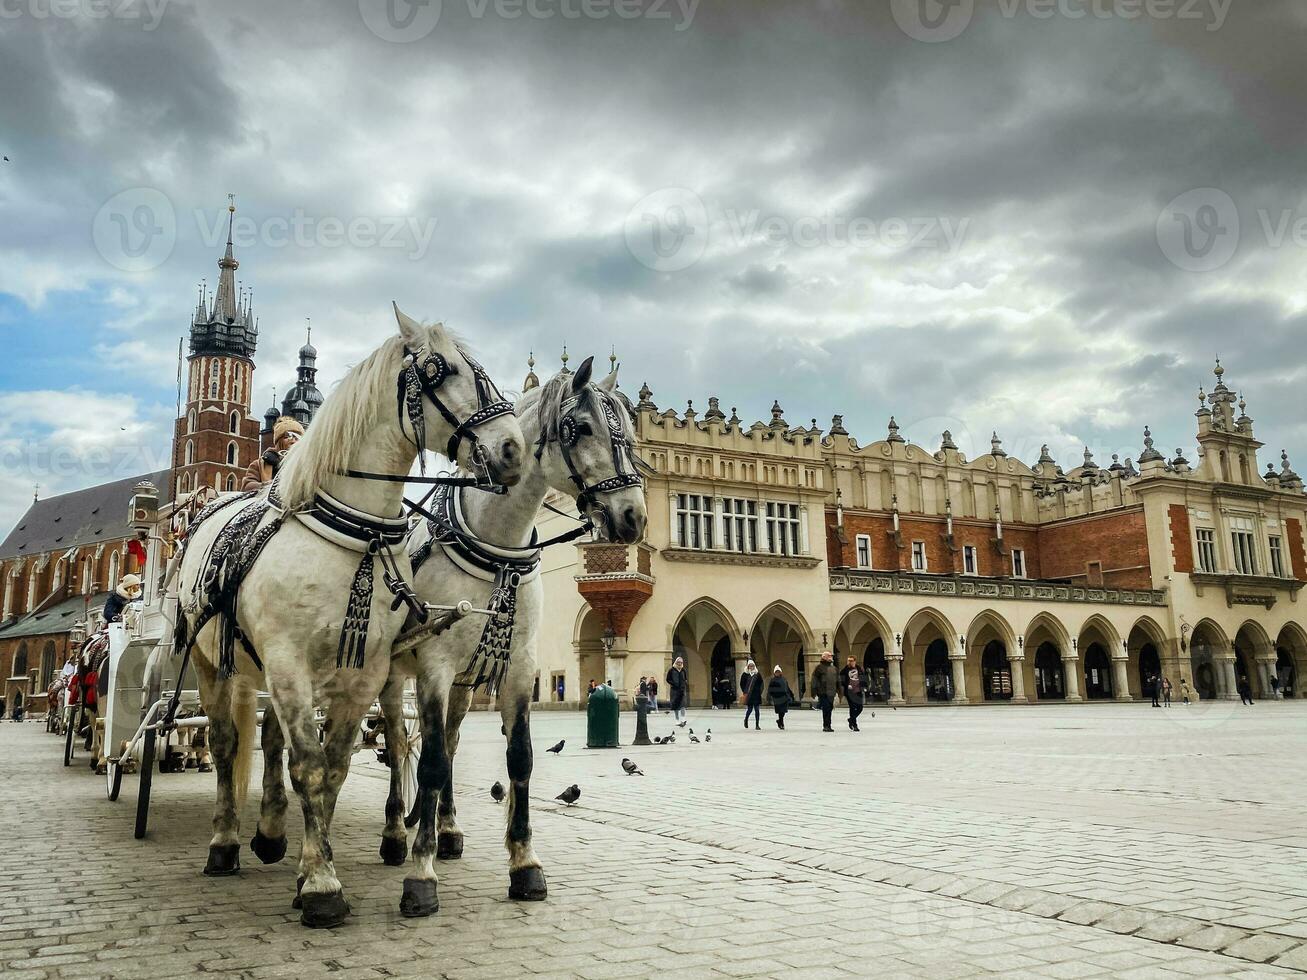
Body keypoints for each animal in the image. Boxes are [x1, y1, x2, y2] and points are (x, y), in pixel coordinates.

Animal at [169, 307, 525, 930]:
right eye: (441, 369)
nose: (513, 448)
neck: (356, 533)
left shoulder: (362, 674)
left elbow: (331, 767)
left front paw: (311, 867)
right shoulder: (289, 663)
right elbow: (309, 768)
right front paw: (322, 886)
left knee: (269, 738)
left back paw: (270, 834)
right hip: (215, 663)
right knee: (224, 745)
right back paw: (225, 844)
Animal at [376, 358, 645, 919]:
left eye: (629, 436)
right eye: (578, 428)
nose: (634, 517)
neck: (497, 543)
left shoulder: (520, 666)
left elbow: (518, 757)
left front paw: (524, 864)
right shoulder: (432, 666)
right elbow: (427, 764)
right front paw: (420, 874)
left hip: (462, 683)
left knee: (450, 741)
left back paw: (449, 830)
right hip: (392, 674)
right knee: (397, 742)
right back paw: (395, 834)